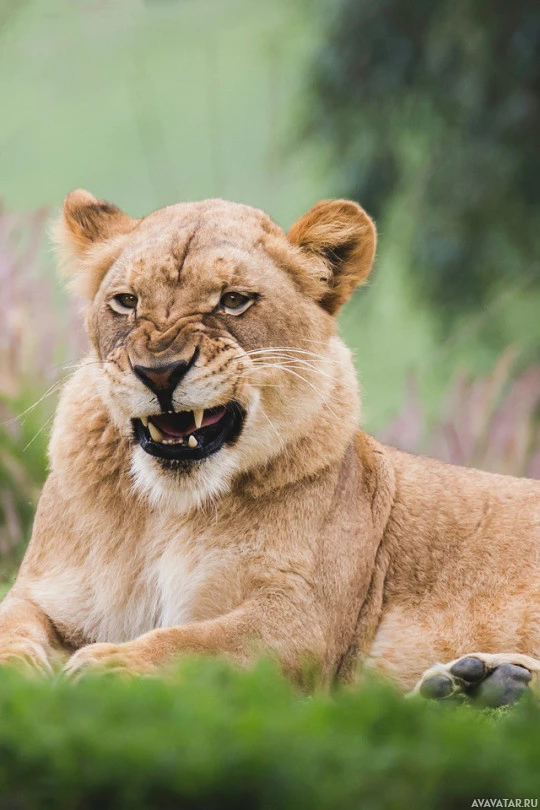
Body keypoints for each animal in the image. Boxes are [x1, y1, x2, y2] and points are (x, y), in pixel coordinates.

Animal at [0, 191, 536, 708]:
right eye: (127, 301)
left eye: (235, 300)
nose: (159, 372)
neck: (167, 510)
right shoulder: (44, 593)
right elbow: (12, 625)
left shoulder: (301, 617)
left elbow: (196, 643)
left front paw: (106, 666)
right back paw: (475, 684)